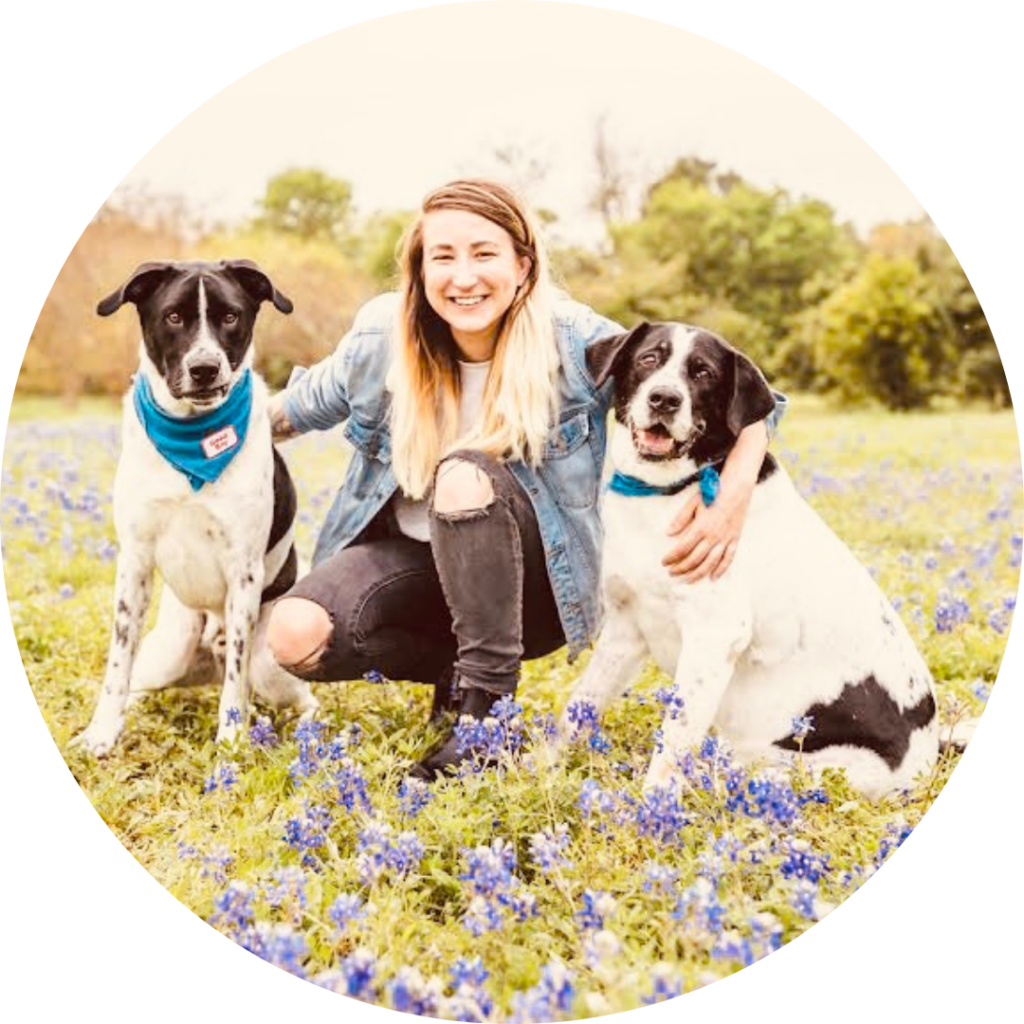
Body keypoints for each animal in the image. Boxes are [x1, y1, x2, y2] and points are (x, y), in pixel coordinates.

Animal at [72, 258, 315, 753]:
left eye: (231, 316)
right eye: (173, 317)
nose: (204, 368)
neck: (191, 439)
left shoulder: (243, 572)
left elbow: (235, 688)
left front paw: (232, 748)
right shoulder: (134, 563)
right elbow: (117, 666)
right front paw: (101, 735)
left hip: (270, 664)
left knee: (297, 697)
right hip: (168, 650)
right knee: (141, 681)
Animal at [561, 323, 950, 794]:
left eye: (704, 373)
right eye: (649, 358)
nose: (664, 399)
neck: (669, 491)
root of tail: (927, 757)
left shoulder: (713, 635)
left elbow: (673, 742)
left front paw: (650, 804)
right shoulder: (626, 627)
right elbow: (578, 707)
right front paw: (536, 769)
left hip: (782, 766)